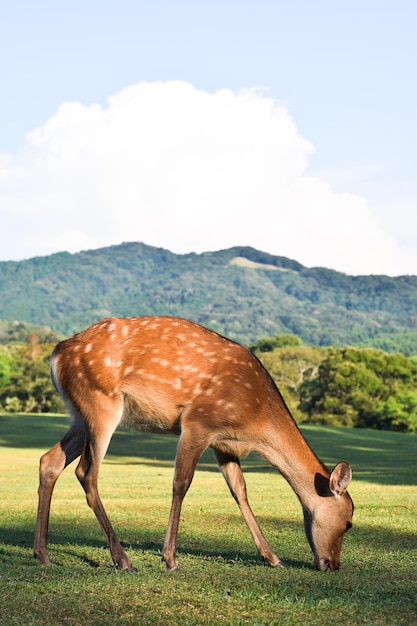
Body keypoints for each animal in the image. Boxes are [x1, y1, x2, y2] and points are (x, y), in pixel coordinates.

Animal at [35, 316, 352, 572]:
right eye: (349, 522)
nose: (333, 565)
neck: (256, 422)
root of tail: (56, 354)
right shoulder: (198, 423)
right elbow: (181, 483)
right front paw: (170, 559)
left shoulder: (224, 445)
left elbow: (240, 491)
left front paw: (273, 558)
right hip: (101, 403)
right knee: (86, 473)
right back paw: (123, 560)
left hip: (80, 415)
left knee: (49, 461)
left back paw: (43, 554)